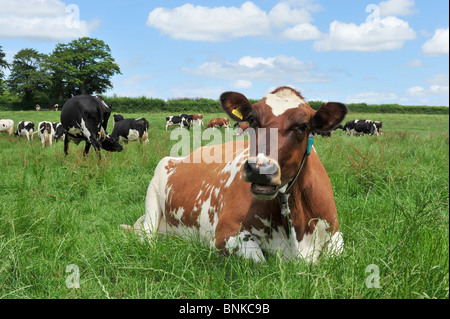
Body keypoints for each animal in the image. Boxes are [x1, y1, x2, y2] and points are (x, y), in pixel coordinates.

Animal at [123, 86, 348, 264]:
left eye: (302, 126)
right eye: (252, 119)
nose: (259, 169)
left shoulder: (336, 235)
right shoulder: (225, 233)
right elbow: (260, 260)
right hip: (152, 199)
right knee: (147, 235)